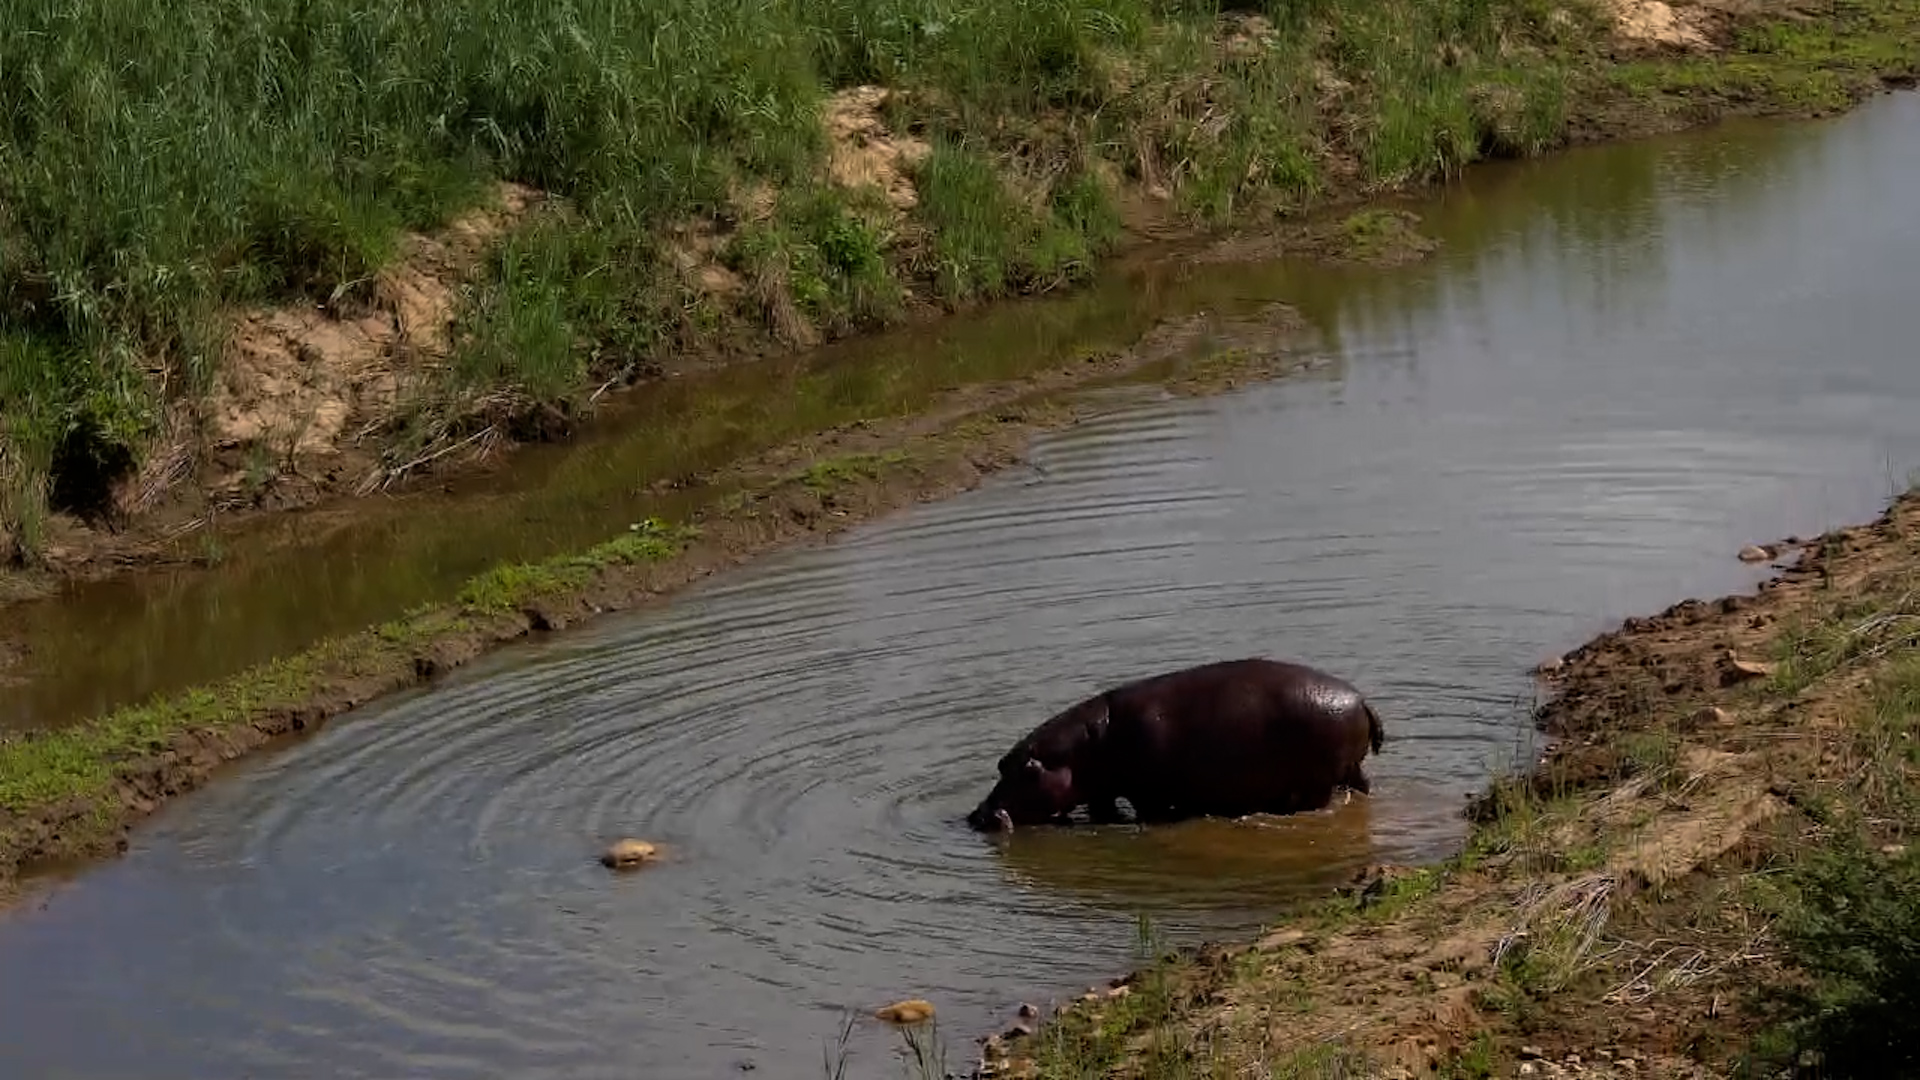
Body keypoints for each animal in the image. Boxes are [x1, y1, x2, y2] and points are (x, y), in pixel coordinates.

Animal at [965, 658, 1385, 832]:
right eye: (1000, 763)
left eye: (1022, 768)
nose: (978, 814)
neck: (1080, 750)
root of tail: (1361, 699)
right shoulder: (1103, 792)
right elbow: (1104, 810)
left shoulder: (1145, 793)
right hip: (1351, 769)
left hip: (1320, 780)